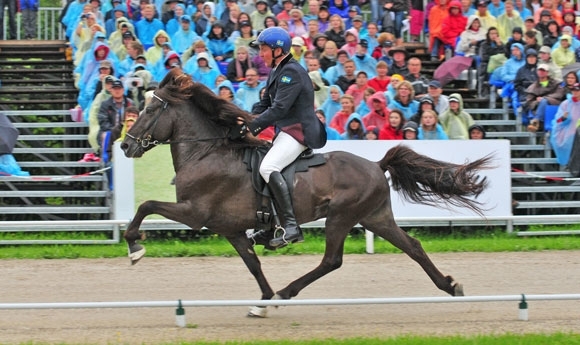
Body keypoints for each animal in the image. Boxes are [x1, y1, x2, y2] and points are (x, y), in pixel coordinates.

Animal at [120, 68, 492, 318]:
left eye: (150, 111)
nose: (124, 145)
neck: (207, 152)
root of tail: (375, 164)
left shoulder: (194, 212)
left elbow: (146, 205)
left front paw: (135, 247)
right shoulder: (231, 229)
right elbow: (253, 264)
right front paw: (262, 302)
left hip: (341, 216)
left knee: (332, 260)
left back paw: (287, 291)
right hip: (375, 217)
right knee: (412, 246)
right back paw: (450, 286)